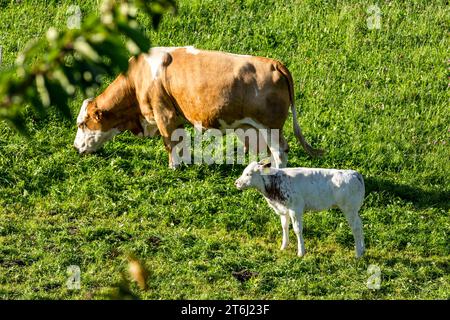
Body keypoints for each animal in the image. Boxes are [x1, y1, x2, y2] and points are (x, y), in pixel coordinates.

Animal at [74, 46, 322, 169]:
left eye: (82, 123)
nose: (76, 147)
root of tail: (274, 63)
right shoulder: (177, 116)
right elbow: (181, 140)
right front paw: (184, 162)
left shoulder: (163, 112)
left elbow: (169, 142)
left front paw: (174, 167)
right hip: (253, 126)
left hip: (270, 126)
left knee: (280, 150)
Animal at [236, 162, 366, 258]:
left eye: (249, 174)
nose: (236, 183)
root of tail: (354, 173)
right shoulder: (284, 209)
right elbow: (284, 226)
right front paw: (283, 246)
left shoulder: (296, 208)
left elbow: (297, 229)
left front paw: (300, 252)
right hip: (354, 210)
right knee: (360, 224)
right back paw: (363, 249)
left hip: (349, 209)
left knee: (356, 227)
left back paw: (358, 254)